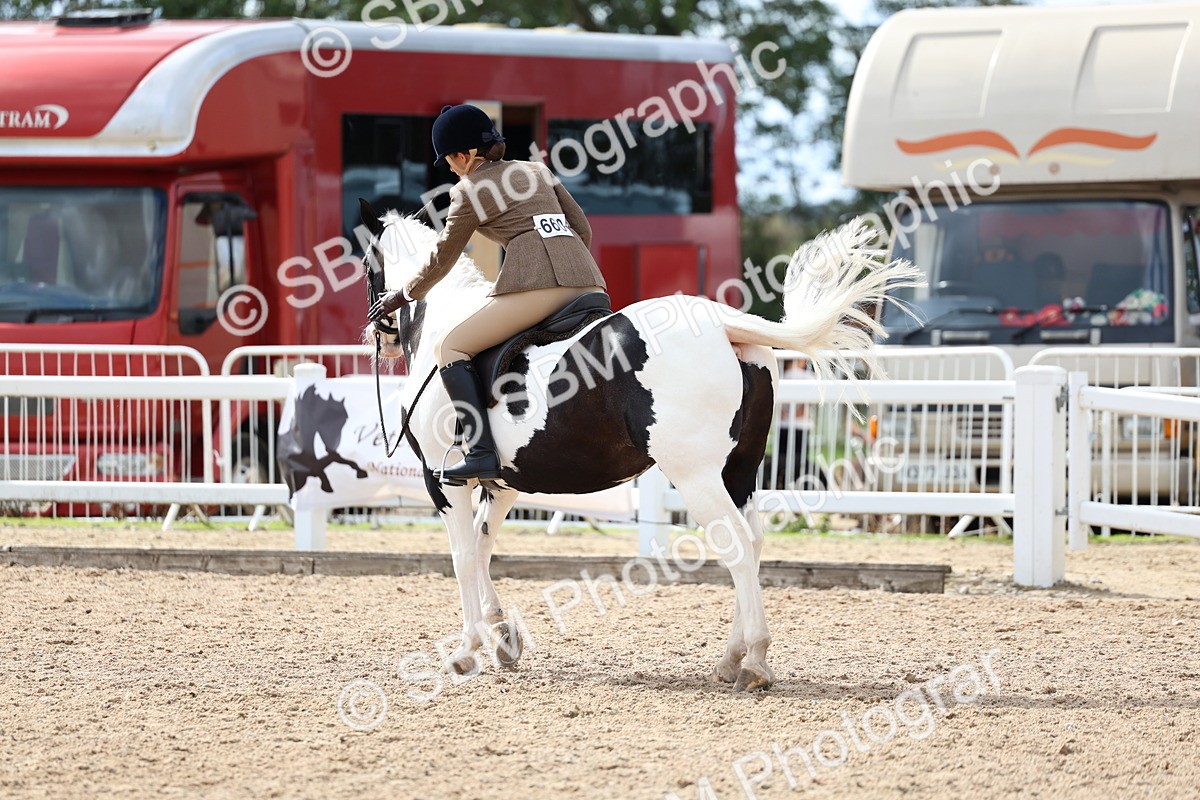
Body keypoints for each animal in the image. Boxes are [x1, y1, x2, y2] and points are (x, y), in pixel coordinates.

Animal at [360, 202, 919, 691]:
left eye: (366, 265)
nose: (376, 333)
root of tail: (722, 322)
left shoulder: (444, 482)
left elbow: (459, 557)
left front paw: (467, 649)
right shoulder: (501, 485)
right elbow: (481, 549)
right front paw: (503, 638)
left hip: (695, 476)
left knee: (736, 548)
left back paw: (755, 663)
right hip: (739, 472)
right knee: (754, 545)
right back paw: (731, 658)